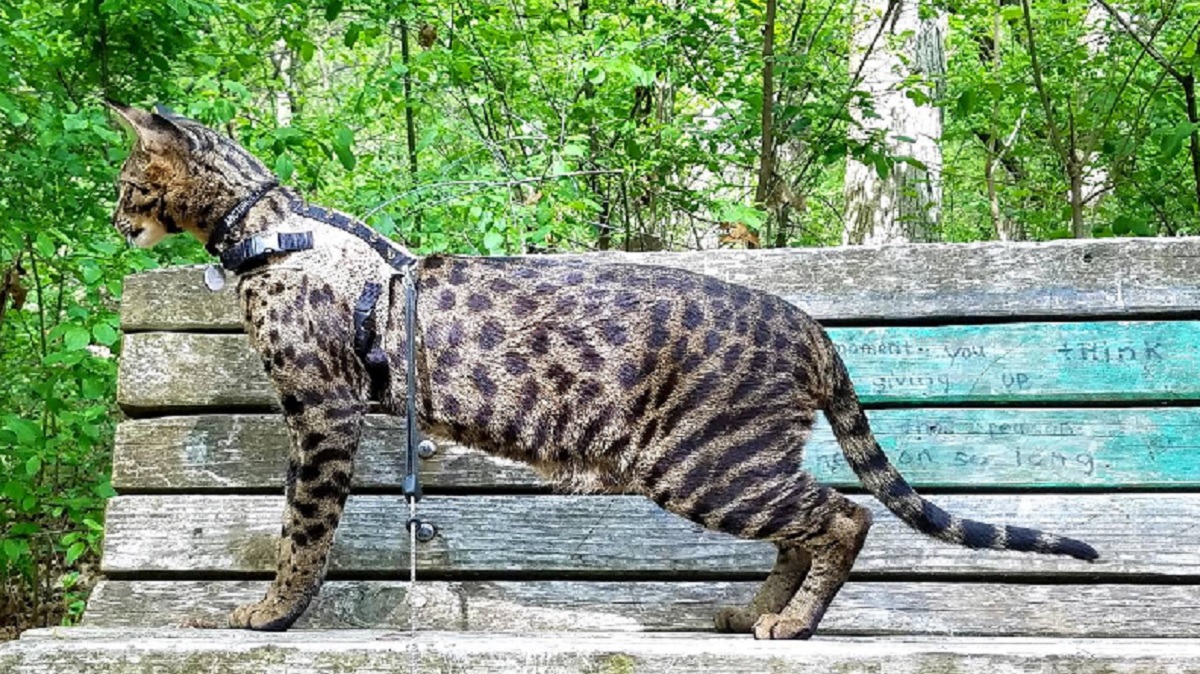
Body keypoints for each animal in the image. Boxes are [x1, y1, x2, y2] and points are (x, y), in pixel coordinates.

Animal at [105, 102, 1099, 638]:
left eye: (122, 187)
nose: (116, 224)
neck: (260, 228)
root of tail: (810, 324)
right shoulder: (316, 412)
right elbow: (297, 523)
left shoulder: (321, 409)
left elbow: (303, 530)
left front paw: (272, 614)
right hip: (733, 464)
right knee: (811, 523)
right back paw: (753, 611)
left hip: (704, 465)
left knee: (843, 516)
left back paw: (791, 621)